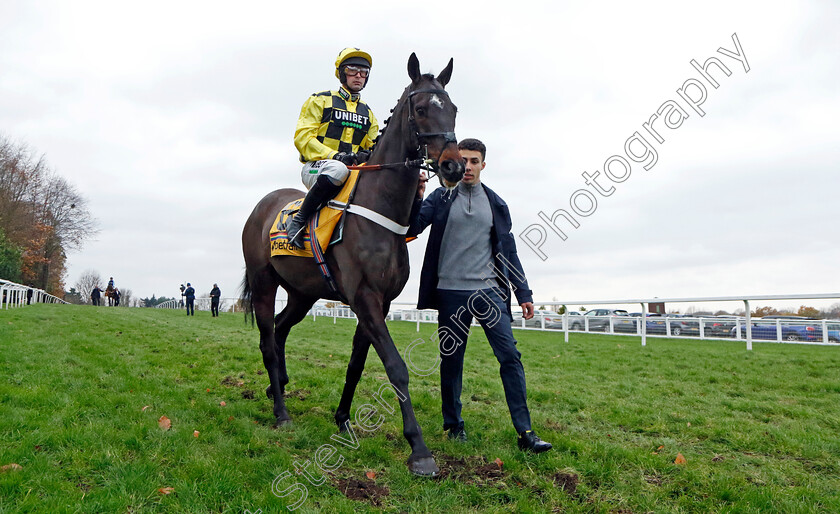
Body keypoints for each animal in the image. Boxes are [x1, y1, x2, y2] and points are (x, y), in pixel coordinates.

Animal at [241, 54, 466, 474]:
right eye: (422, 109)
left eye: (454, 109)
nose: (453, 167)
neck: (379, 212)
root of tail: (263, 205)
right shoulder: (364, 298)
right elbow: (396, 366)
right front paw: (419, 449)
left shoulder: (382, 302)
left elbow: (357, 364)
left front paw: (343, 419)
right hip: (264, 284)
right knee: (267, 340)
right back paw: (281, 412)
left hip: (302, 293)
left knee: (280, 329)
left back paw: (278, 385)